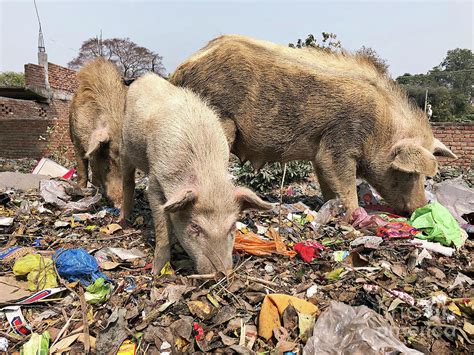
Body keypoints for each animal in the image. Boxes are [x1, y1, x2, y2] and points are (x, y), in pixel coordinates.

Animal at [120, 72, 272, 276]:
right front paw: (157, 272)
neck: (207, 177)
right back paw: (123, 220)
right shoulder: (156, 180)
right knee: (127, 179)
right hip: (125, 146)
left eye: (232, 226)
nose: (220, 274)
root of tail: (146, 75)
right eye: (195, 226)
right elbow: (162, 228)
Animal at [169, 34, 456, 216]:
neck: (382, 128)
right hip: (220, 118)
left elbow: (329, 183)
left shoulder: (321, 153)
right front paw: (356, 215)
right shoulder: (342, 138)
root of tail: (180, 69)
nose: (420, 207)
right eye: (409, 174)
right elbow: (343, 179)